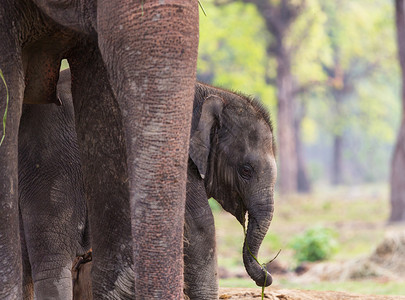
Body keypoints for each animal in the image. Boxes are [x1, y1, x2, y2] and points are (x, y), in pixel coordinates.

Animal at [20, 69, 276, 298]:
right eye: (246, 170)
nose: (266, 275)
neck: (213, 92)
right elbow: (199, 224)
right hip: (54, 162)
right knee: (53, 258)